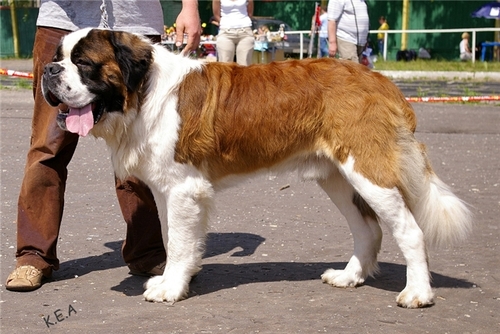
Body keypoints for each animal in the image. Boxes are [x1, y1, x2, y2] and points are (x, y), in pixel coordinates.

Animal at [42, 28, 472, 308]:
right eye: (58, 59)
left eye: (84, 64)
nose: (49, 71)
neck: (143, 93)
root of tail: (380, 79)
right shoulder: (177, 190)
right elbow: (183, 240)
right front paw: (179, 278)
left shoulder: (183, 189)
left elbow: (178, 242)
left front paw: (170, 288)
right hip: (336, 176)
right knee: (368, 228)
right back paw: (349, 277)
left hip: (368, 171)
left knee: (410, 231)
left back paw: (418, 294)